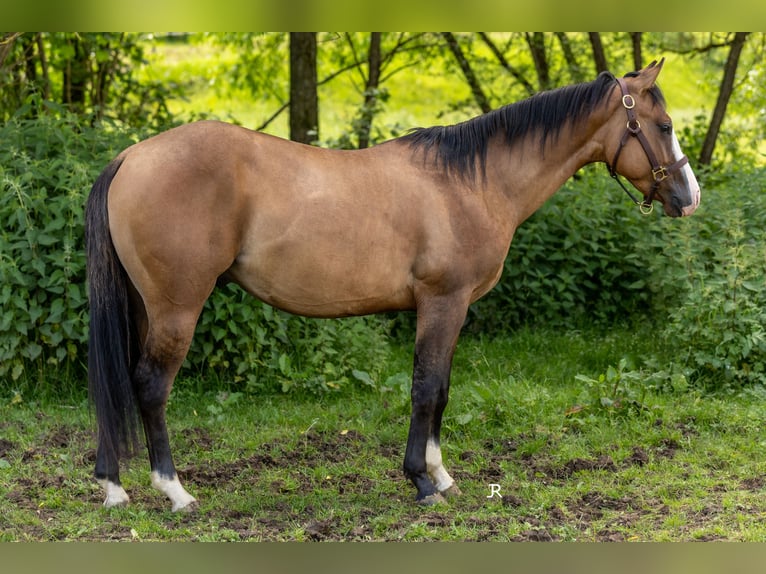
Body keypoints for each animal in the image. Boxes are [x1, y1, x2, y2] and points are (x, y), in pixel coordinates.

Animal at [85, 60, 704, 512]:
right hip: (176, 309)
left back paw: (114, 486)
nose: (689, 198)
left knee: (119, 384)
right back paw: (174, 492)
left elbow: (442, 390)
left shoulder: (452, 310)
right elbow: (426, 388)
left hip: (145, 308)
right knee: (150, 386)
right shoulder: (442, 303)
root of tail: (130, 156)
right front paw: (422, 483)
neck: (471, 180)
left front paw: (442, 475)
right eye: (664, 127)